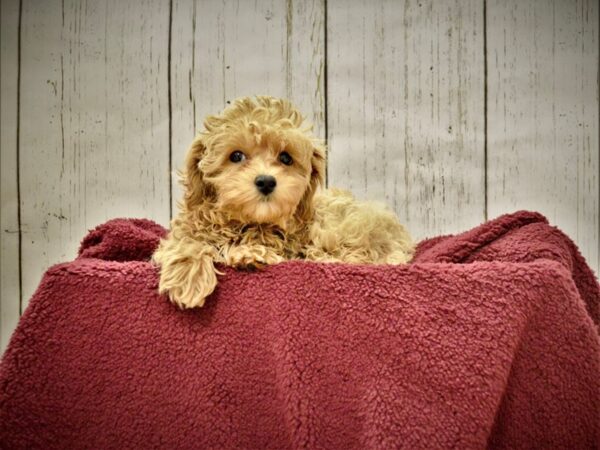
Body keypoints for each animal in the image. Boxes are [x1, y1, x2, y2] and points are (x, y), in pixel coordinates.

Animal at [152, 96, 414, 308]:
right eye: (236, 156)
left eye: (286, 158)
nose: (266, 181)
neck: (246, 222)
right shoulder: (190, 227)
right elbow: (188, 242)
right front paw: (188, 279)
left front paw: (250, 254)